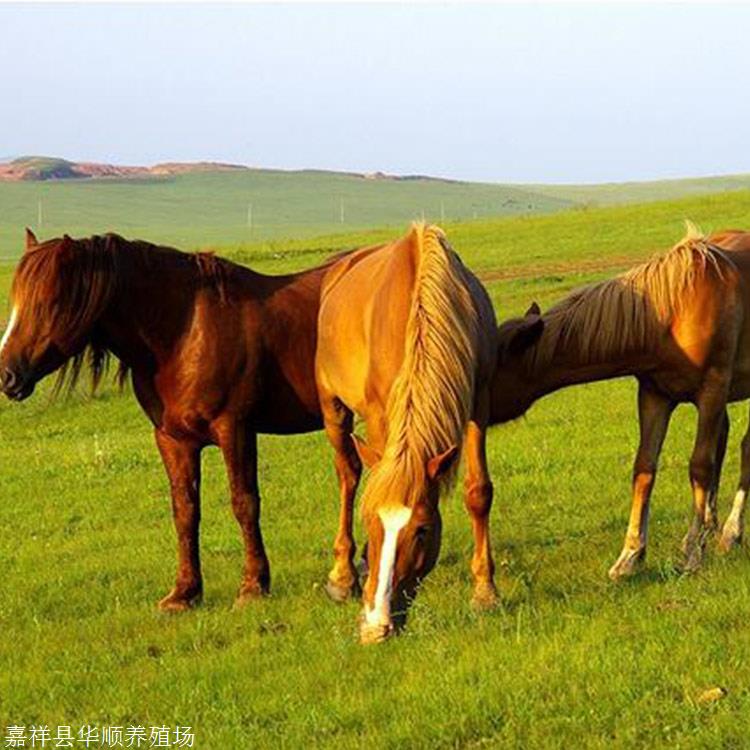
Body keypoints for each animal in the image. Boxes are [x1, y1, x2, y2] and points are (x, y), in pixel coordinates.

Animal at [0, 229, 344, 612]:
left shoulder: (235, 430)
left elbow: (244, 502)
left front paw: (253, 586)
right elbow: (185, 511)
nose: (7, 375)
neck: (185, 333)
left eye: (49, 301)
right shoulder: (173, 440)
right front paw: (184, 593)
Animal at [314, 225, 502, 648]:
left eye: (422, 531)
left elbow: (478, 492)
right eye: (370, 523)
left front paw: (485, 591)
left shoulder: (478, 401)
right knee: (348, 476)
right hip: (333, 407)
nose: (377, 626)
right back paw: (343, 575)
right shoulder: (379, 414)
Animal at [496, 226, 750, 580]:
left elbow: (700, 465)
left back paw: (729, 532)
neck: (674, 311)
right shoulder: (655, 396)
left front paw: (691, 555)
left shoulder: (712, 389)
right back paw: (710, 527)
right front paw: (630, 556)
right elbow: (644, 469)